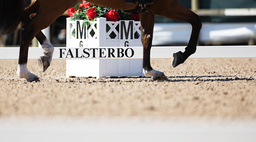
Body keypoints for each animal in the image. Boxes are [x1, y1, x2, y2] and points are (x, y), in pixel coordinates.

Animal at [0, 0, 200, 81]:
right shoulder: (166, 5)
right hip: (54, 7)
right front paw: (180, 56)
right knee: (27, 30)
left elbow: (146, 39)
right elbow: (196, 21)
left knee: (25, 17)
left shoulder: (148, 9)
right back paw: (26, 73)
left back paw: (46, 54)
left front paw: (150, 71)